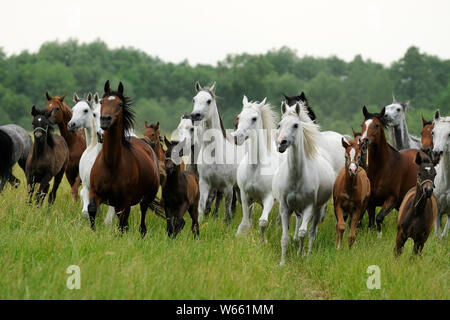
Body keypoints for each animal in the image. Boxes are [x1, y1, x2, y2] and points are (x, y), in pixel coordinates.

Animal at [88, 80, 162, 235]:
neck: (111, 164)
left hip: (147, 196)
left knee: (143, 213)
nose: (105, 120)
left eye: (120, 104)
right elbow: (91, 210)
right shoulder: (95, 193)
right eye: (102, 102)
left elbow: (123, 225)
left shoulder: (125, 201)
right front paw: (93, 232)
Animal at [232, 95, 282, 240]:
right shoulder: (244, 196)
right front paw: (240, 236)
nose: (237, 138)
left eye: (254, 118)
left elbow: (263, 222)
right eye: (240, 116)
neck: (255, 169)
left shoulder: (268, 198)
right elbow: (245, 221)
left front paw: (262, 240)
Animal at [272, 102, 336, 264]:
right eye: (279, 125)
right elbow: (285, 237)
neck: (296, 177)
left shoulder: (309, 207)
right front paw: (282, 262)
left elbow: (303, 233)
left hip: (318, 209)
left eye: (295, 125)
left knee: (312, 232)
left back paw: (307, 253)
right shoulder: (285, 208)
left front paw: (300, 254)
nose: (281, 144)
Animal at [360, 106, 424, 234]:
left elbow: (379, 218)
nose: (364, 141)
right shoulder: (370, 202)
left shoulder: (392, 199)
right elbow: (371, 222)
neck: (381, 169)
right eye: (362, 125)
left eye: (376, 125)